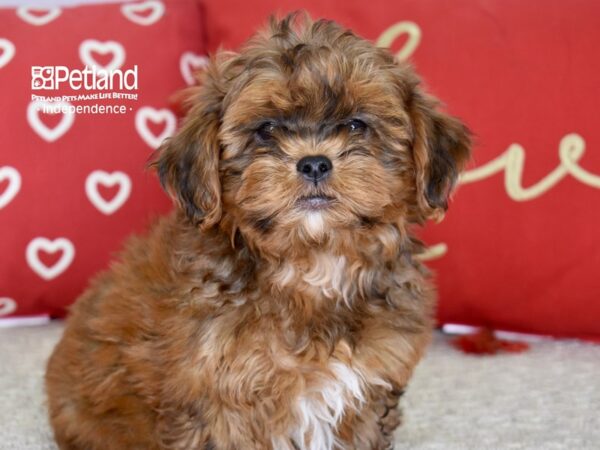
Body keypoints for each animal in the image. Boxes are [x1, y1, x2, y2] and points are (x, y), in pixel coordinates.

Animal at [45, 13, 468, 450]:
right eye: (266, 130)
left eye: (356, 125)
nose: (314, 163)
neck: (312, 262)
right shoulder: (219, 396)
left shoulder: (369, 388)